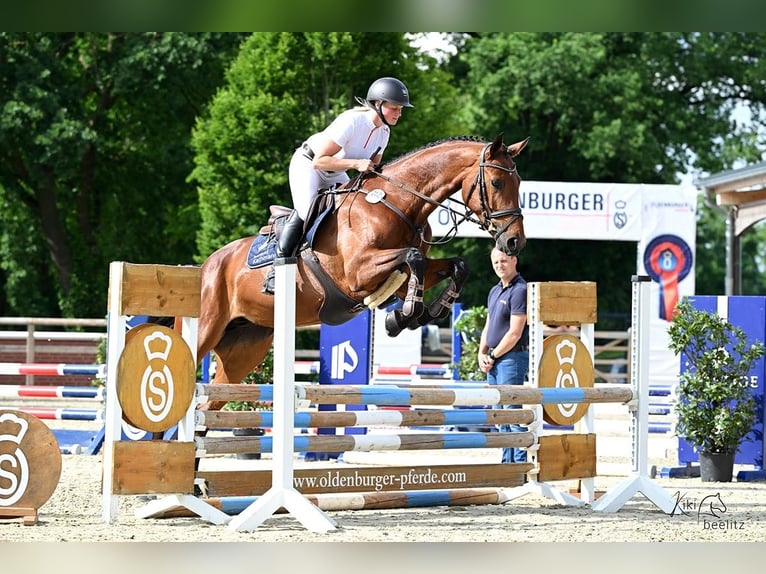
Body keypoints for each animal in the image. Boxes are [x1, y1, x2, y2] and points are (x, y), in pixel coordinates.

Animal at [196, 134, 528, 410]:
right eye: (497, 183)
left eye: (520, 183)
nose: (515, 242)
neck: (398, 203)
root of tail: (208, 264)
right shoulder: (358, 273)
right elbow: (414, 258)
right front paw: (406, 314)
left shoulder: (400, 272)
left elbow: (455, 265)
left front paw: (426, 312)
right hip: (209, 327)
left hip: (246, 346)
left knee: (208, 405)